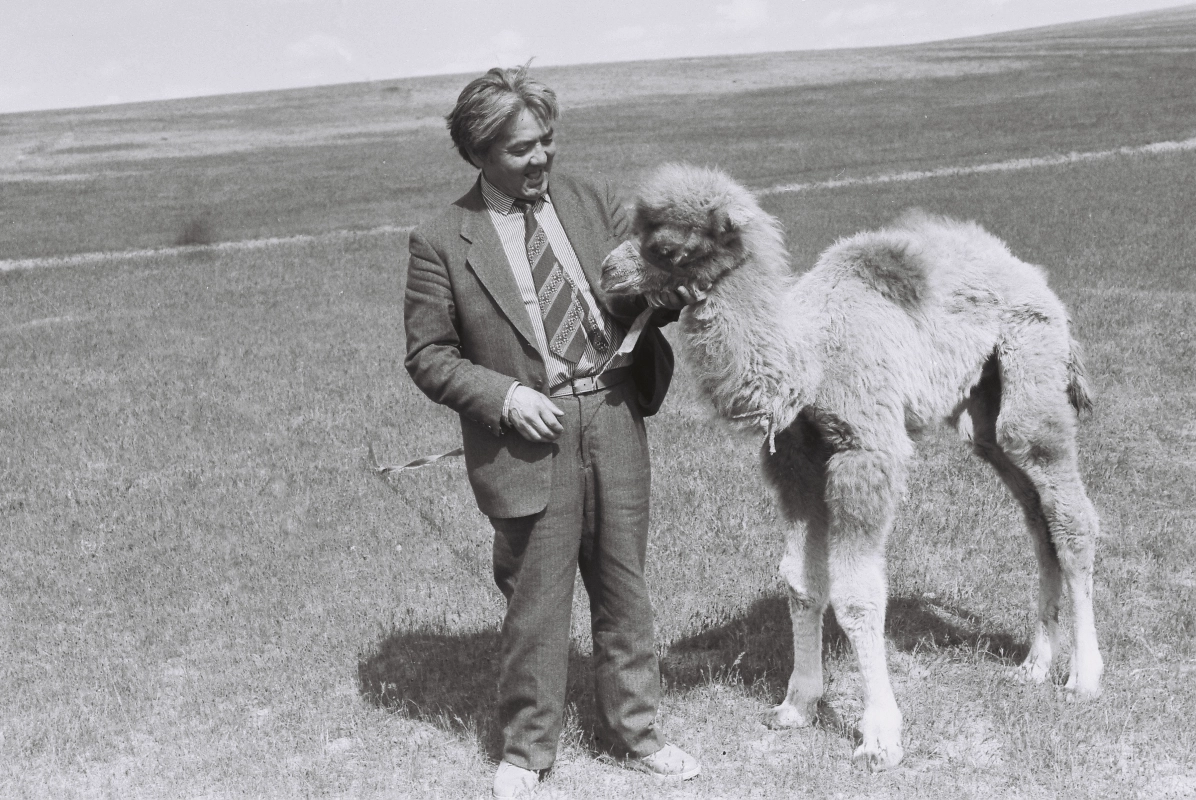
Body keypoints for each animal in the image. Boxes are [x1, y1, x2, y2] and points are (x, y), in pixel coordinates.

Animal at [602, 162, 1105, 765]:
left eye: (667, 247)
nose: (607, 271)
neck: (808, 361)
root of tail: (1034, 276)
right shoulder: (797, 459)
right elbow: (800, 581)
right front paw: (796, 705)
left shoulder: (865, 454)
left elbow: (859, 595)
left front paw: (880, 737)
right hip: (984, 407)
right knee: (1035, 515)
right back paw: (1034, 665)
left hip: (1031, 360)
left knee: (1068, 512)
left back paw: (1084, 677)